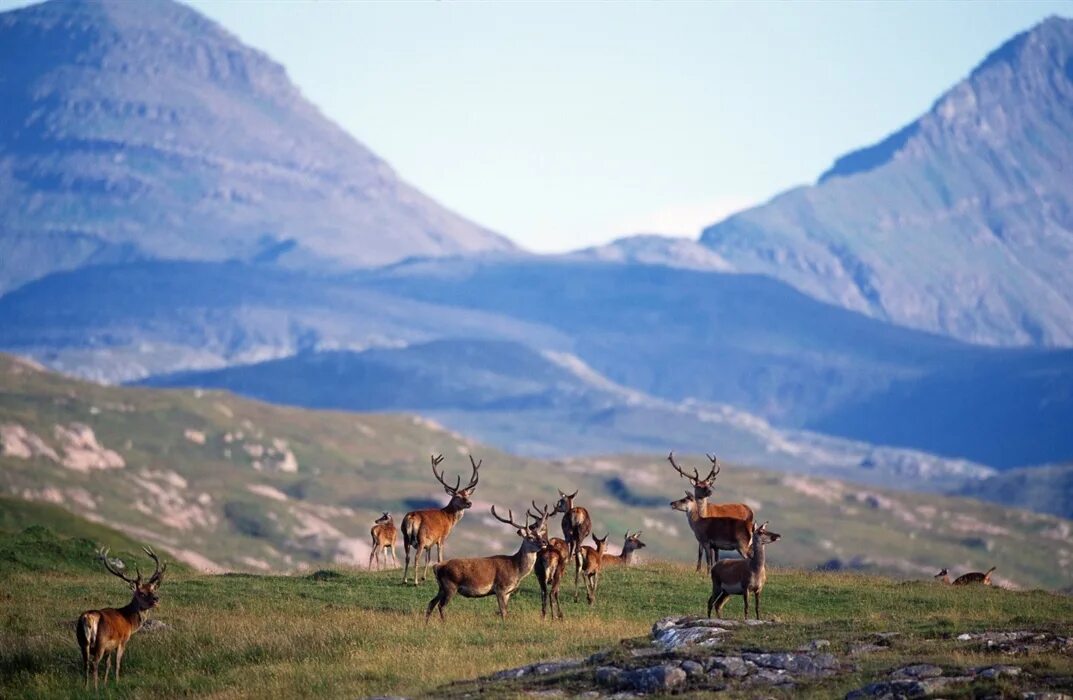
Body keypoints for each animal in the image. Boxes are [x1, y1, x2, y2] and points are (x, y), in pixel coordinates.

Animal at [75, 547, 166, 687]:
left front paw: (105, 683)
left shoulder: (109, 647)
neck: (129, 621)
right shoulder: (122, 640)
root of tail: (88, 617)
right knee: (94, 663)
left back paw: (86, 687)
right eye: (142, 593)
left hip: (82, 641)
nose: (156, 598)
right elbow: (117, 663)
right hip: (100, 641)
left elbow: (108, 664)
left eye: (152, 590)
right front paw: (116, 682)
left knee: (86, 664)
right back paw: (95, 688)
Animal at [401, 453, 480, 584]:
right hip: (421, 537)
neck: (449, 518)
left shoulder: (430, 542)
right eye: (457, 496)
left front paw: (424, 577)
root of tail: (411, 518)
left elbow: (428, 559)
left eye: (467, 495)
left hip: (405, 537)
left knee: (407, 557)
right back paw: (415, 582)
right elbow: (439, 558)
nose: (469, 503)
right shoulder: (441, 537)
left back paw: (405, 580)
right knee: (416, 557)